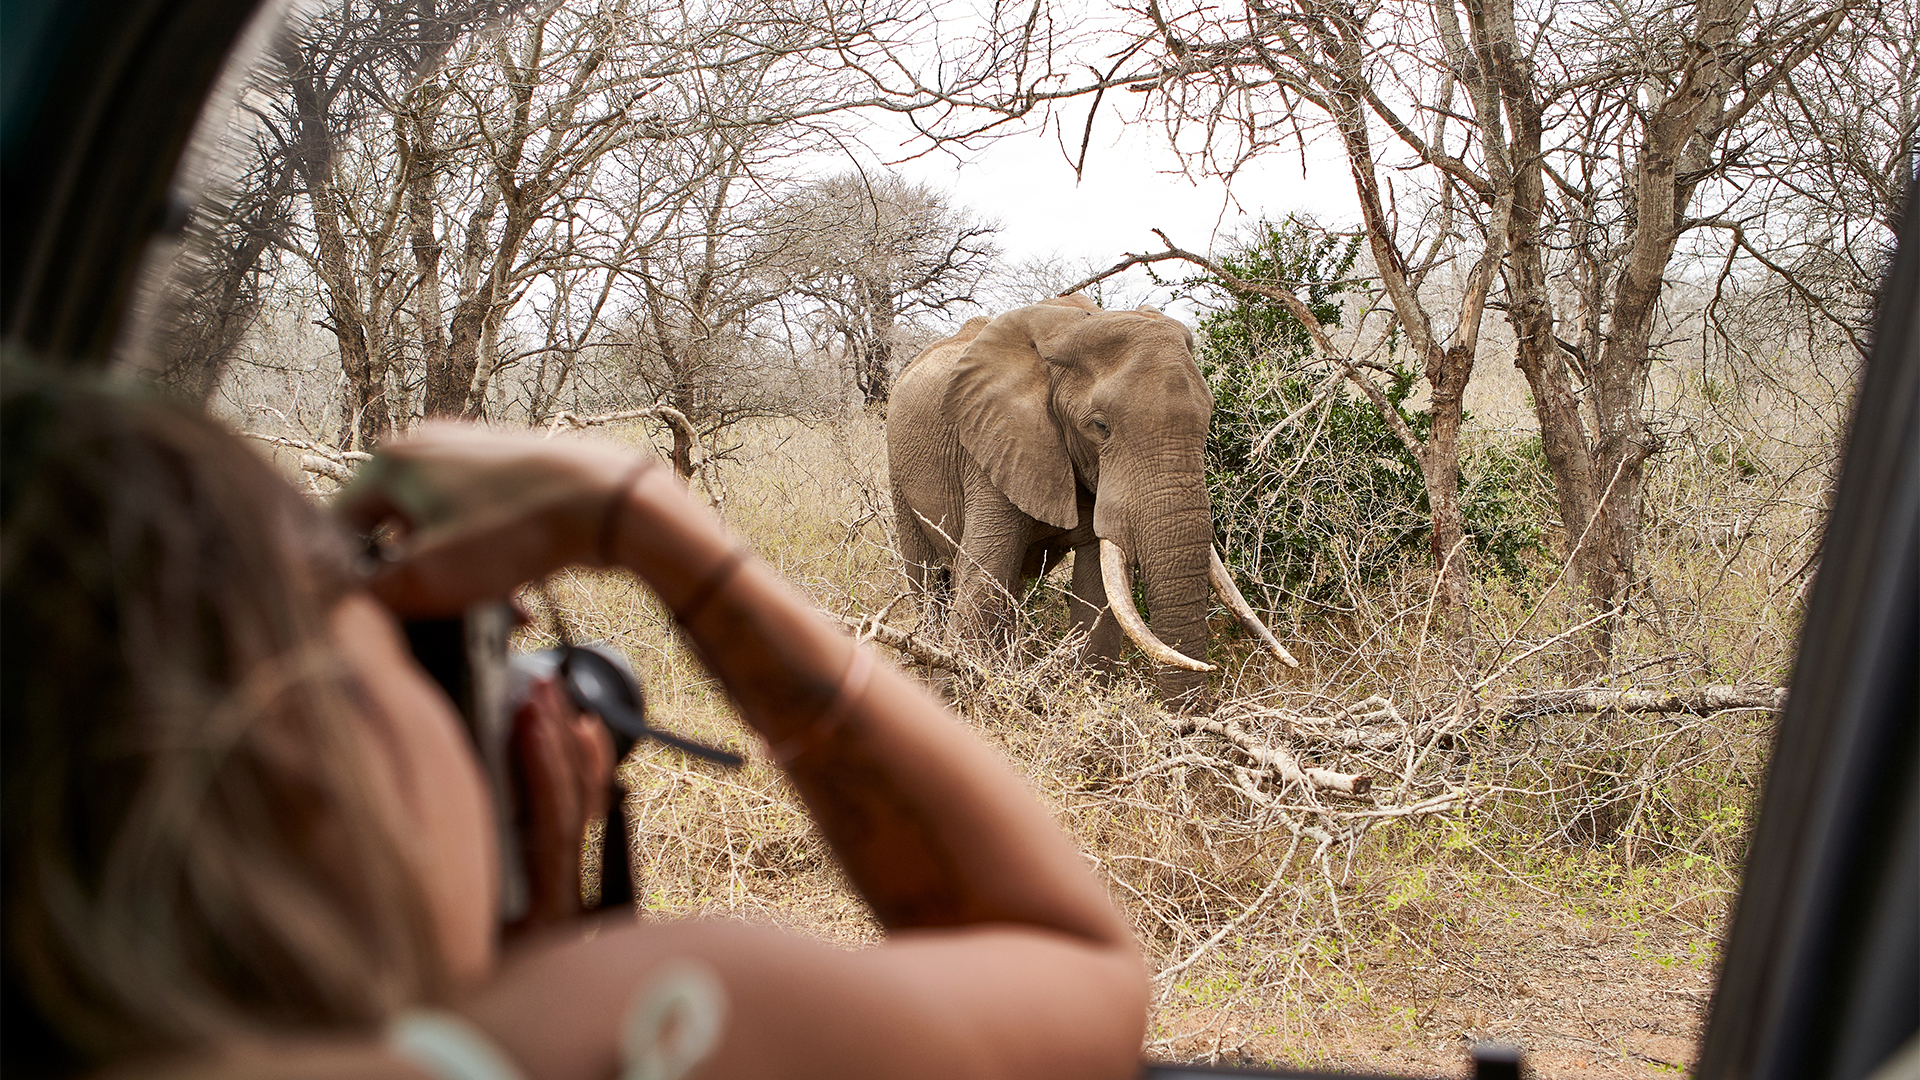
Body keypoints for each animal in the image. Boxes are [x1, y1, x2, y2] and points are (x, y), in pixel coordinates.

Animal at [886, 293, 1298, 701]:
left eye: (1209, 416)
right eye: (1100, 427)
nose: (1207, 674)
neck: (1071, 328)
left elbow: (1098, 593)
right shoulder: (995, 444)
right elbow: (986, 576)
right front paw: (948, 699)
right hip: (898, 471)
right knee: (926, 578)